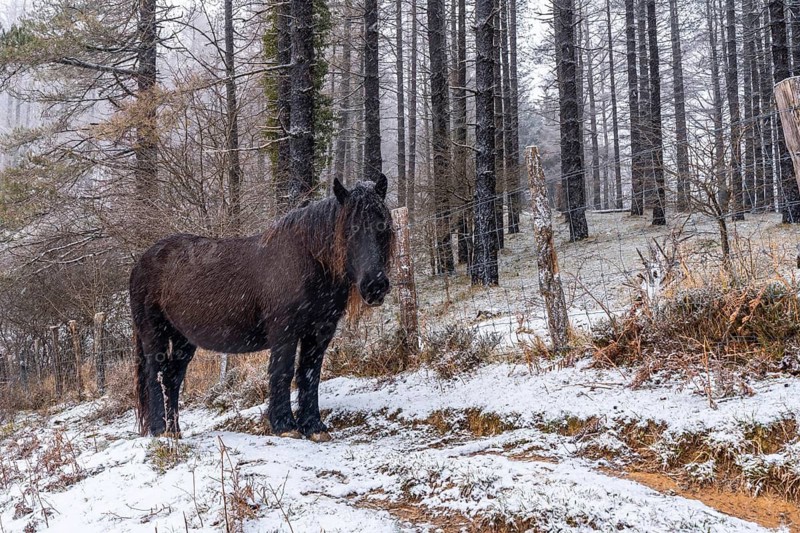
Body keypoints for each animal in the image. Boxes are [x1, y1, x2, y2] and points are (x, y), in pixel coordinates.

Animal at [130, 175, 393, 442]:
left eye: (382, 225)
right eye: (349, 230)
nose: (375, 286)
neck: (306, 261)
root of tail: (142, 262)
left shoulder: (319, 333)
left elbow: (310, 375)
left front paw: (314, 427)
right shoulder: (284, 332)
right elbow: (283, 372)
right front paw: (285, 426)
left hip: (183, 339)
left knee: (172, 379)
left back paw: (173, 431)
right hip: (154, 334)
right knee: (156, 377)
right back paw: (160, 430)